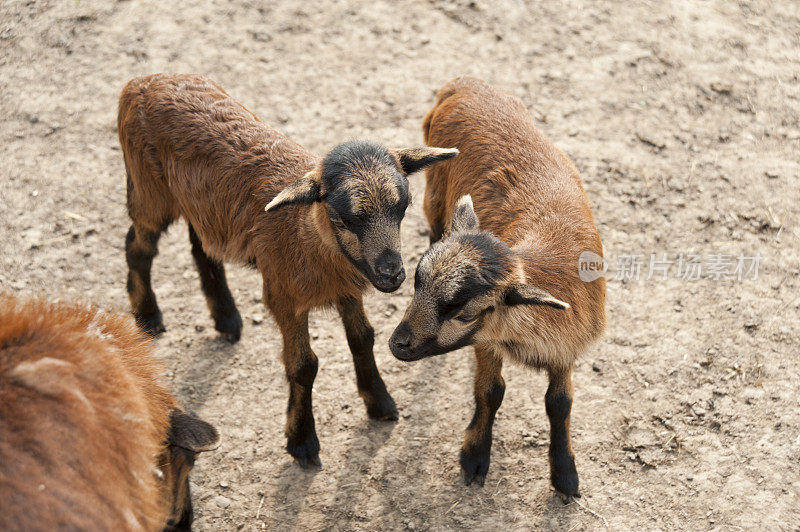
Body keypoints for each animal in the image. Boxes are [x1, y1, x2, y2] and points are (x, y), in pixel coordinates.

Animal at [117, 74, 456, 466]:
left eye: (402, 208)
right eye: (343, 219)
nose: (392, 275)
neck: (306, 235)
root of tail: (145, 80)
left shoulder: (347, 289)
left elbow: (363, 338)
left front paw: (380, 401)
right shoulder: (284, 298)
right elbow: (304, 365)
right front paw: (302, 439)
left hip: (199, 204)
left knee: (201, 247)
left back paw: (226, 318)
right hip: (149, 191)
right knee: (138, 246)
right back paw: (148, 315)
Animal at [390, 77, 608, 496]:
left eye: (464, 314)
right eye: (417, 283)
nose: (397, 343)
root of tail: (464, 83)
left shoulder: (566, 345)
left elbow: (560, 403)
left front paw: (565, 473)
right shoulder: (487, 343)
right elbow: (491, 391)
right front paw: (475, 456)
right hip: (434, 194)